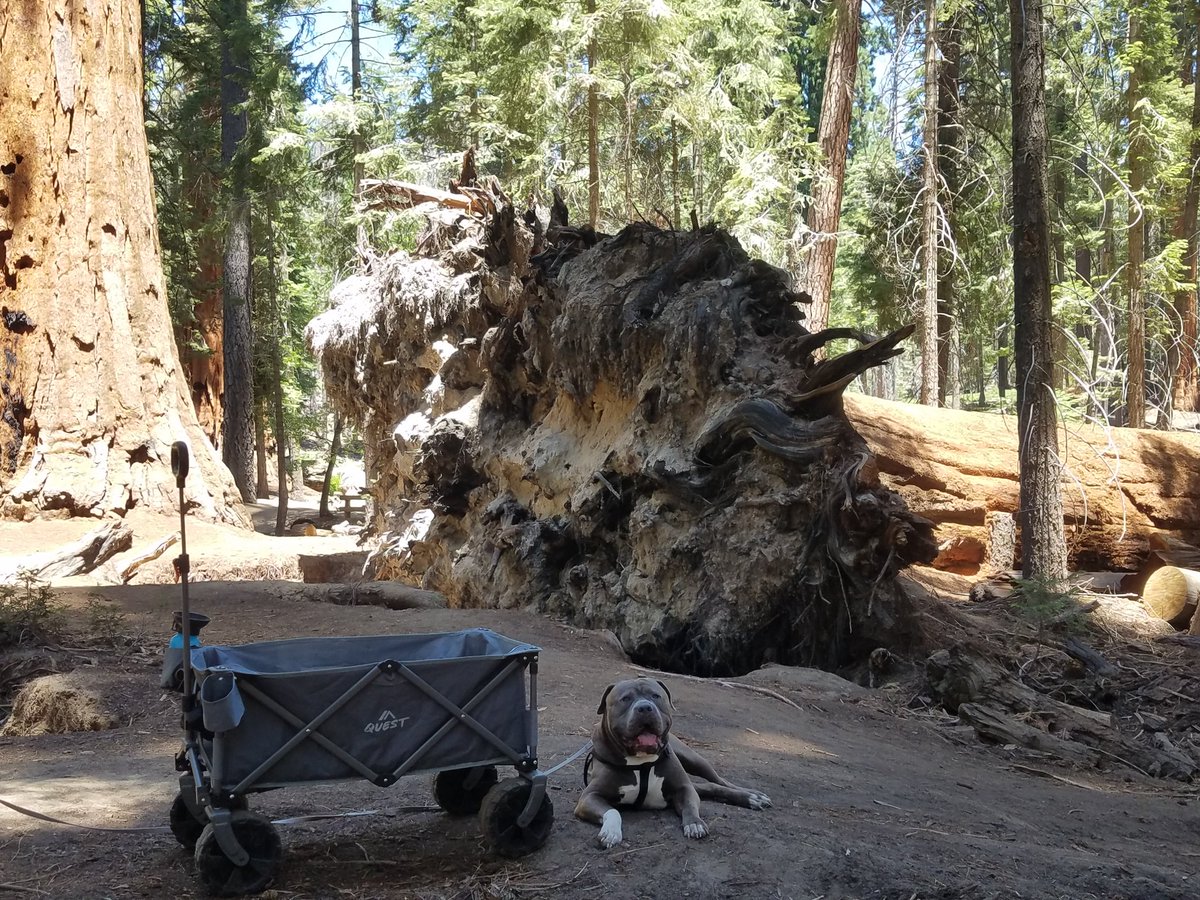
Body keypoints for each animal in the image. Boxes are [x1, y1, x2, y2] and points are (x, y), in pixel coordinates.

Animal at [576, 681, 772, 849]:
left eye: (656, 696)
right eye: (625, 699)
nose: (644, 707)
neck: (641, 762)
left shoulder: (683, 788)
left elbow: (690, 806)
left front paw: (694, 824)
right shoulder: (589, 797)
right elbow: (612, 811)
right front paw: (611, 832)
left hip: (693, 759)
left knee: (719, 781)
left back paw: (752, 796)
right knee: (710, 786)